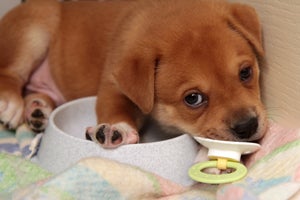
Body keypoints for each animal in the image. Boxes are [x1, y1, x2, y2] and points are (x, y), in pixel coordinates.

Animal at [0, 0, 268, 148]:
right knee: (9, 73)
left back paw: (37, 110)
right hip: (34, 28)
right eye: (193, 98)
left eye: (246, 72)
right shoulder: (113, 84)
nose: (247, 126)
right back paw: (11, 104)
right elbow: (115, 106)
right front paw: (114, 129)